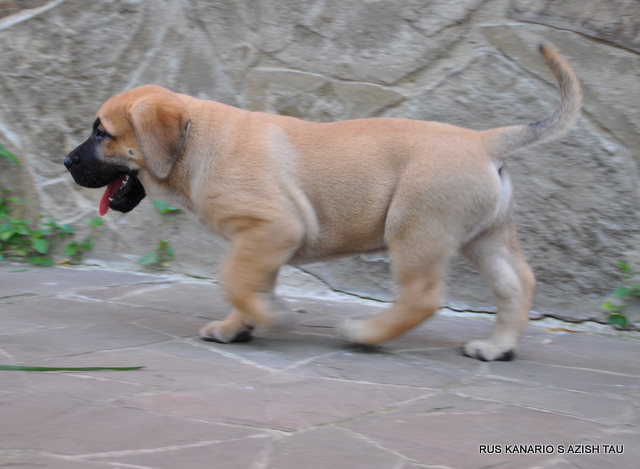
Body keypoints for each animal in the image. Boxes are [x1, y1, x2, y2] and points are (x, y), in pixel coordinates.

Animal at [63, 44, 580, 358]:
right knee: (516, 284)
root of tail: (484, 141)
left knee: (423, 295)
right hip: (485, 236)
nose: (66, 162)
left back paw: (366, 334)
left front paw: (266, 316)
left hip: (416, 227)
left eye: (101, 133)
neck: (195, 142)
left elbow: (233, 278)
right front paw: (238, 326)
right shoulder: (264, 238)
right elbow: (248, 281)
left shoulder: (273, 226)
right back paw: (496, 348)